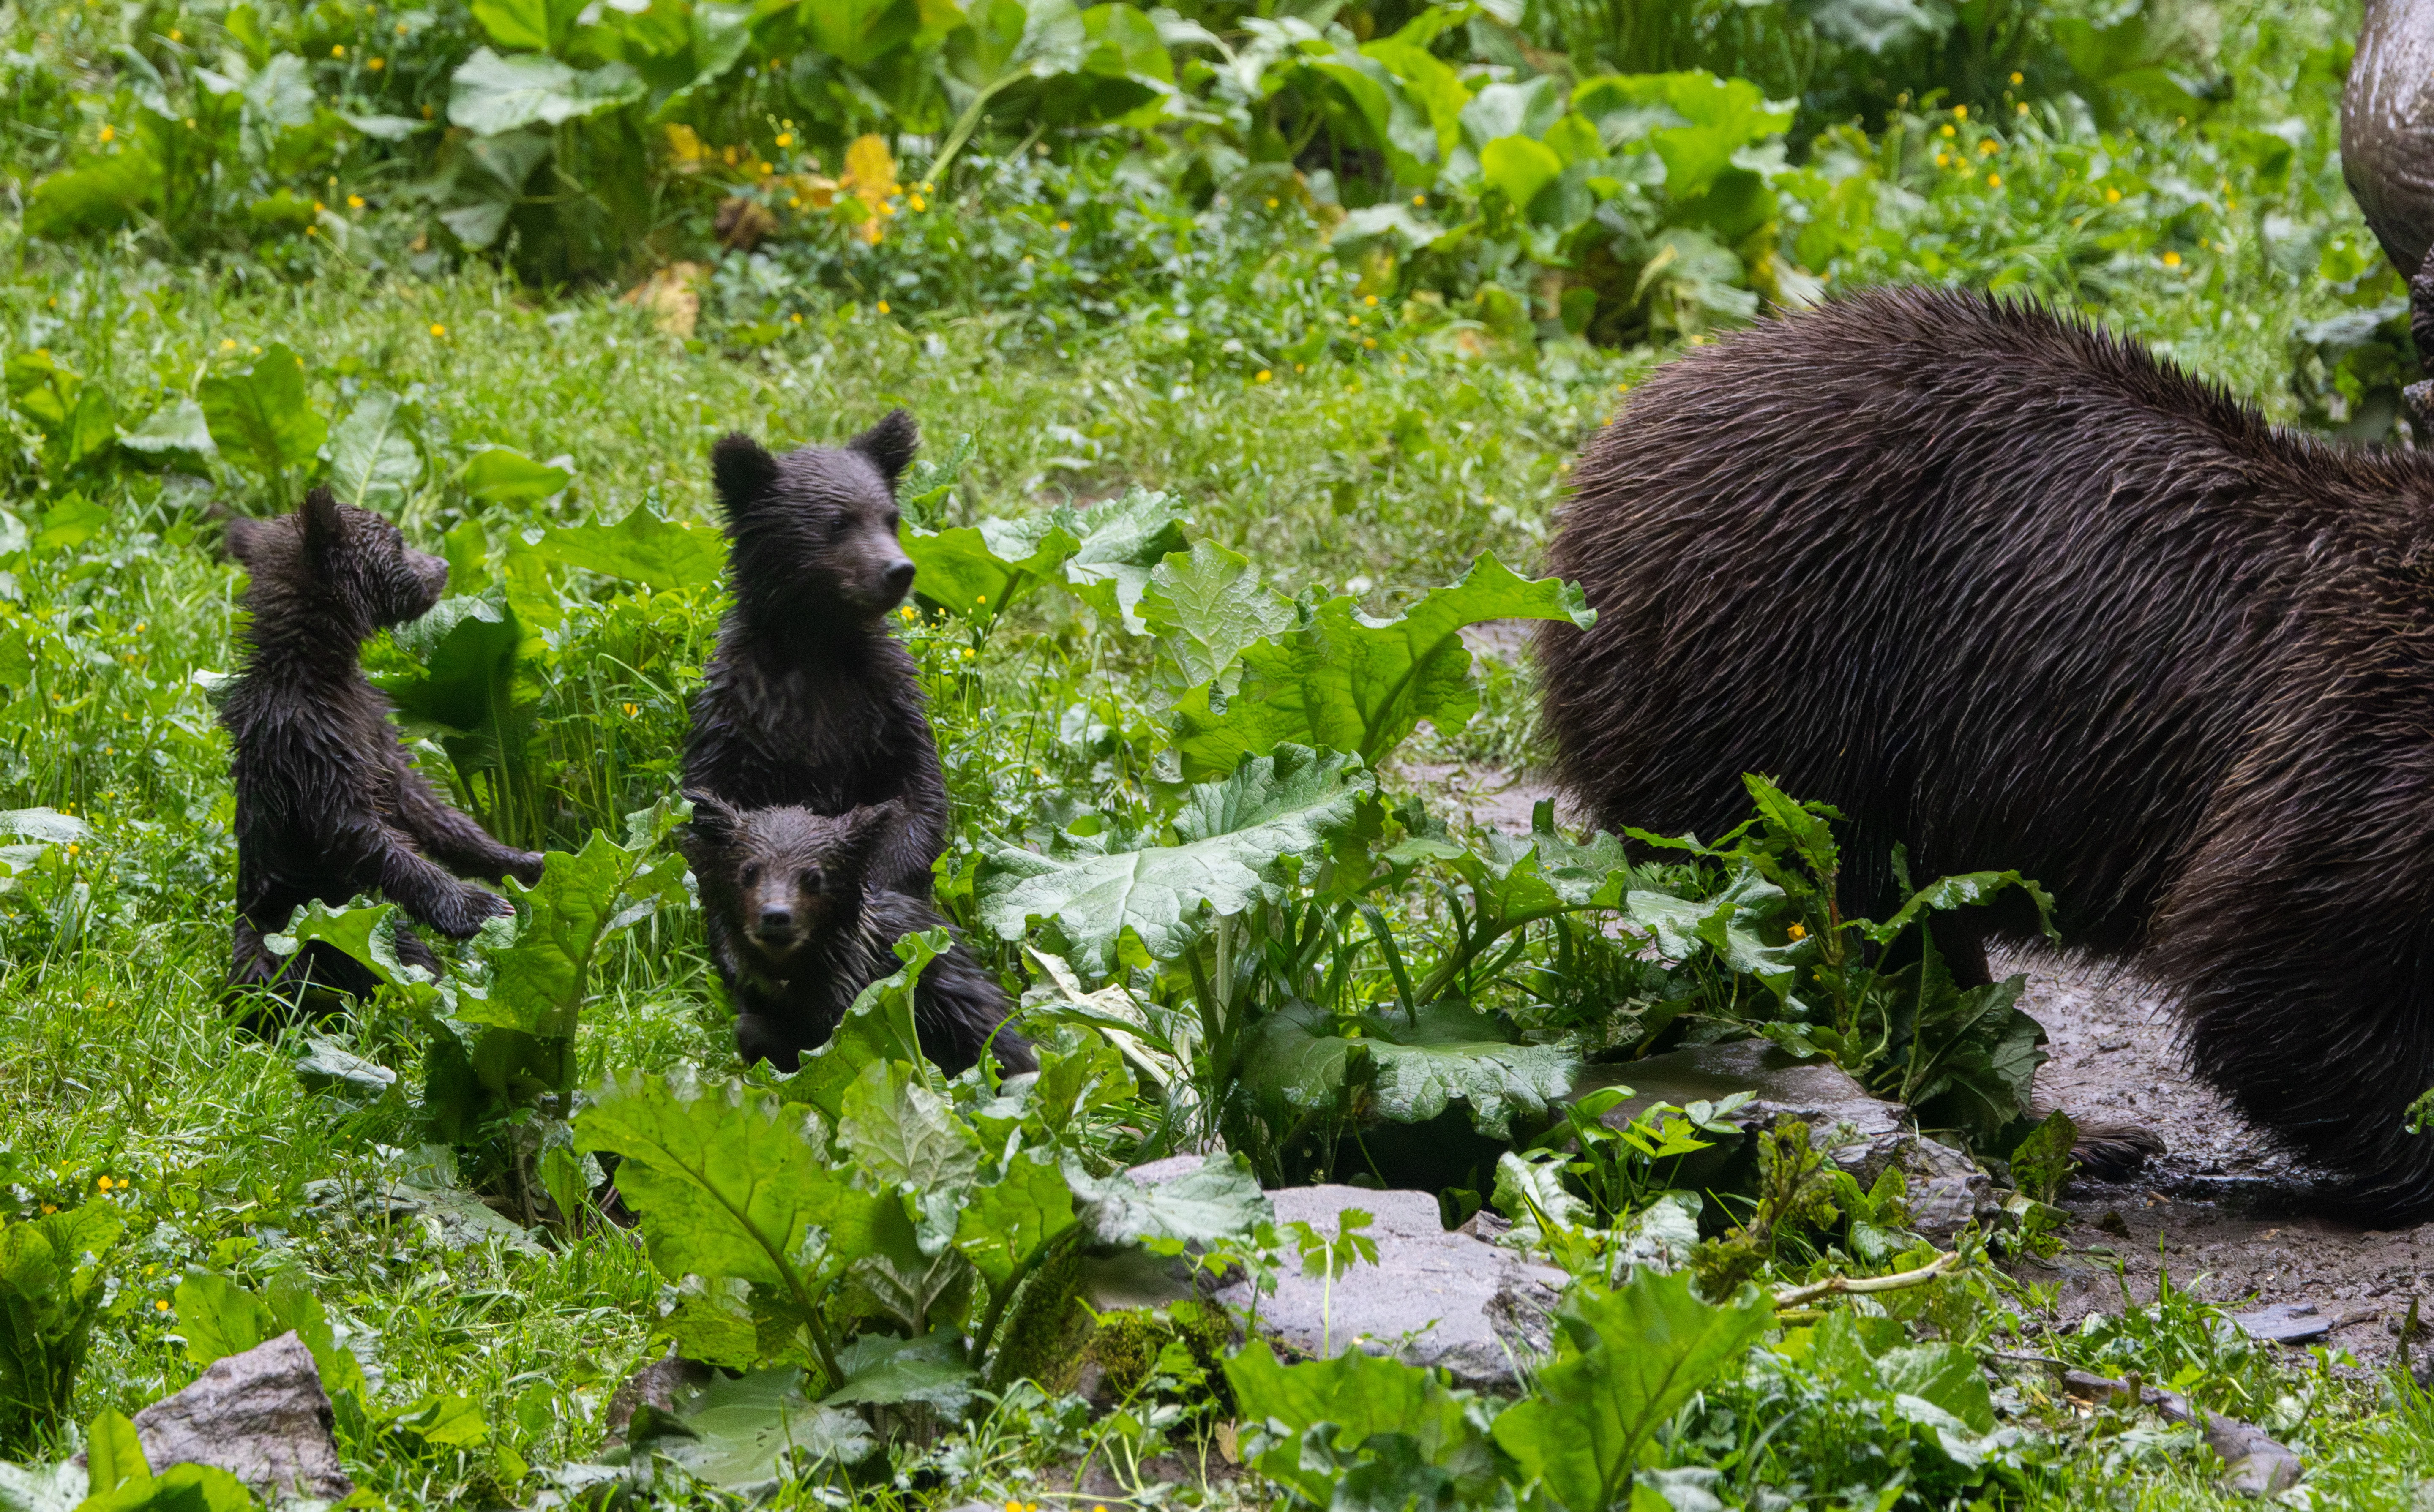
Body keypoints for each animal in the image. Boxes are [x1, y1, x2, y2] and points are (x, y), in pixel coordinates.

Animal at [222, 488, 545, 1005]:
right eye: (397, 541)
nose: (442, 565)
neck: (320, 673)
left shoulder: (376, 731)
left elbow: (426, 808)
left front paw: (521, 861)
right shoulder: (307, 745)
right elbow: (361, 836)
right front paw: (481, 907)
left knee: (405, 956)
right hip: (292, 927)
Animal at [683, 412, 947, 900]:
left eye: (892, 518)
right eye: (838, 522)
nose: (899, 570)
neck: (818, 644)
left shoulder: (887, 712)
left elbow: (915, 799)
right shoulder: (740, 724)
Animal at [1536, 286, 2434, 1218]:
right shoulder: (2356, 733)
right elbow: (2278, 947)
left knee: (1919, 943)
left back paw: (2072, 1128)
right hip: (1790, 672)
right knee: (1829, 920)